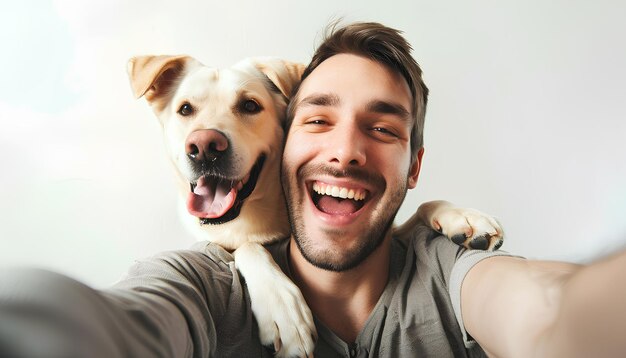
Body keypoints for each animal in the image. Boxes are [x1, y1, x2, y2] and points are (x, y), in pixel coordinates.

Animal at [127, 54, 502, 356]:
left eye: (250, 106)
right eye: (185, 109)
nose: (204, 146)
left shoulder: (390, 229)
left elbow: (420, 209)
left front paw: (463, 217)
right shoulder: (219, 242)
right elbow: (247, 247)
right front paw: (283, 308)